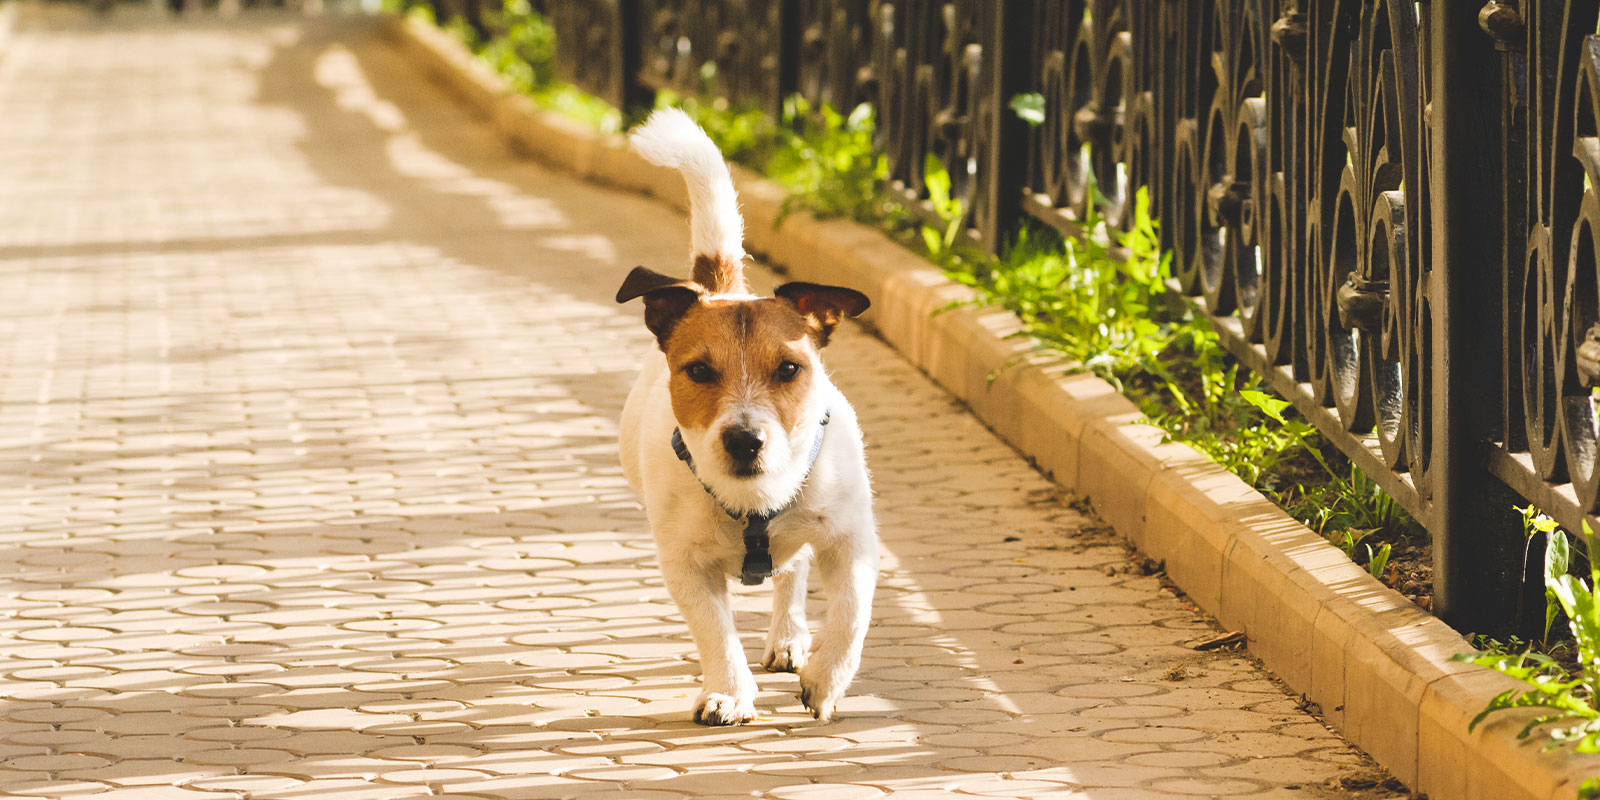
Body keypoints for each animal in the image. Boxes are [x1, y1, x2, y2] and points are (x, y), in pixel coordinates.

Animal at [617, 108, 883, 726]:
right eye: (697, 371)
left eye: (788, 368)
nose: (744, 441)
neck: (755, 502)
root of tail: (724, 286)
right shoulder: (685, 565)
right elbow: (715, 630)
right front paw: (728, 691)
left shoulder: (852, 542)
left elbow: (851, 615)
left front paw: (827, 679)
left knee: (794, 574)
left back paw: (790, 639)